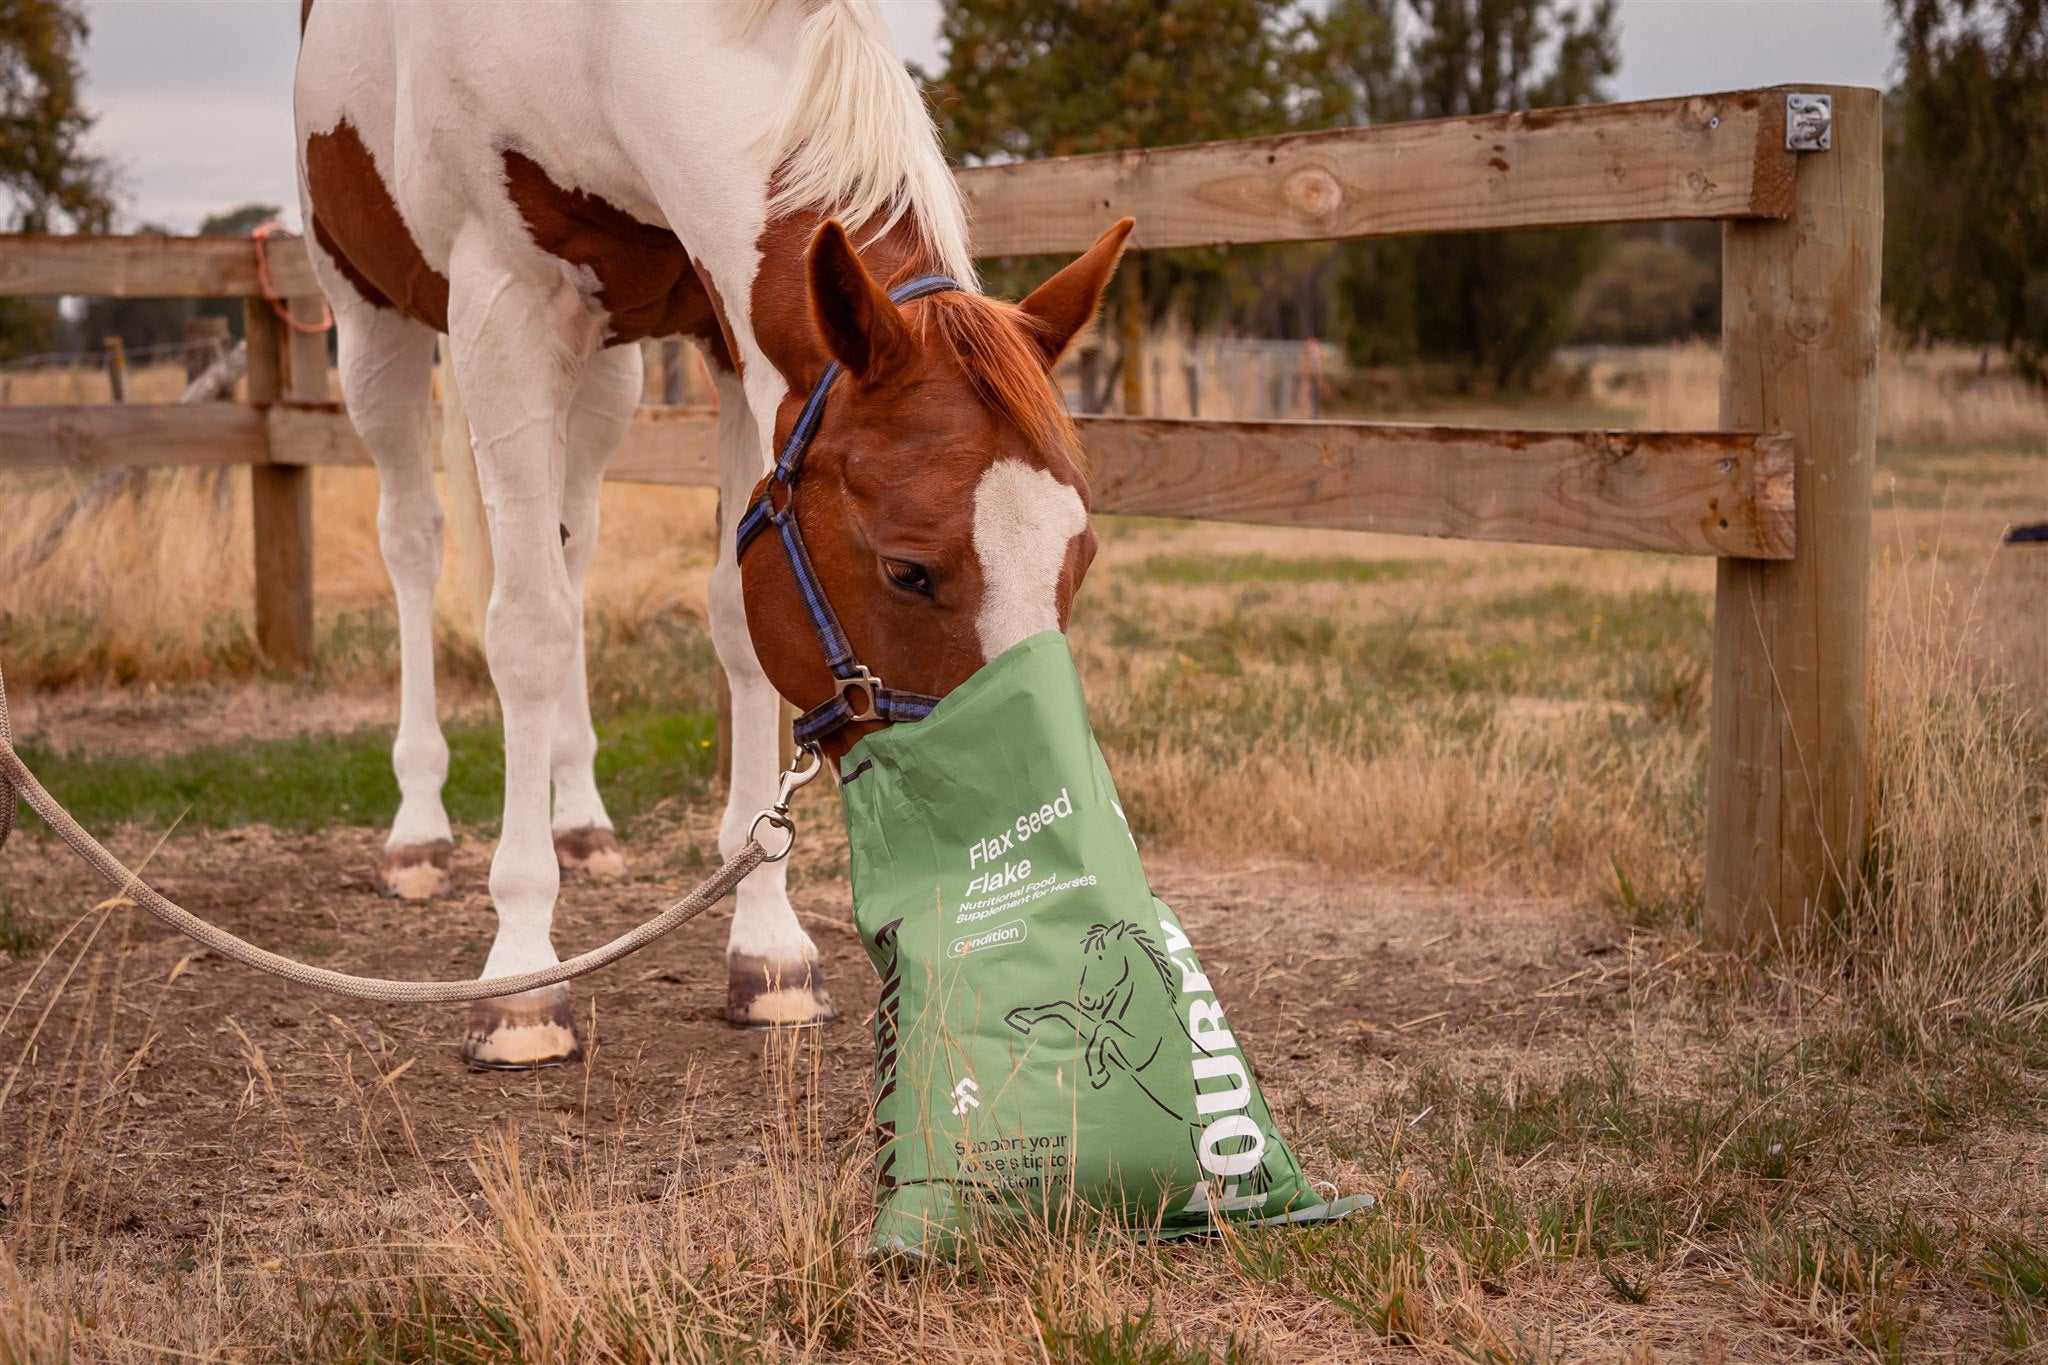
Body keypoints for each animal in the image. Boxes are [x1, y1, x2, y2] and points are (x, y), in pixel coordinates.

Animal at [294, 0, 1128, 1067]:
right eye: (908, 570)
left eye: (1080, 557)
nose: (1029, 845)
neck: (597, 45)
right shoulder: (502, 307)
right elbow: (524, 632)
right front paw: (521, 971)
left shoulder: (736, 341)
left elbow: (735, 626)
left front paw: (767, 945)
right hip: (369, 316)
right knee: (417, 541)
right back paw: (419, 829)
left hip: (607, 372)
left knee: (572, 545)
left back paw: (581, 820)